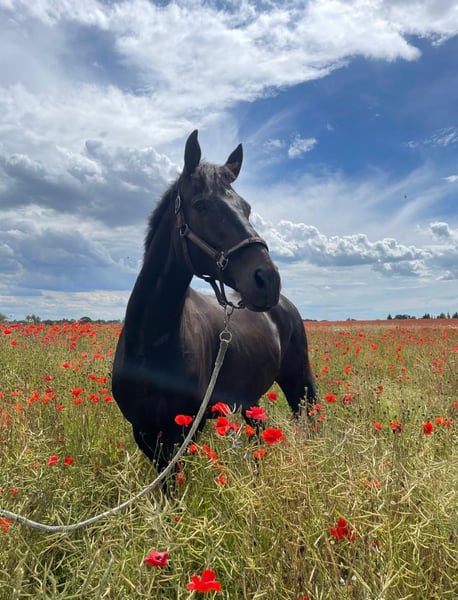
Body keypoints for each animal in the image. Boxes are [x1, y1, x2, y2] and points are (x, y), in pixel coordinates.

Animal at [112, 130, 316, 472]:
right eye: (201, 205)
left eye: (247, 208)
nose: (268, 279)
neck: (150, 341)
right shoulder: (144, 433)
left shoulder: (183, 432)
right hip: (249, 400)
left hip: (298, 381)